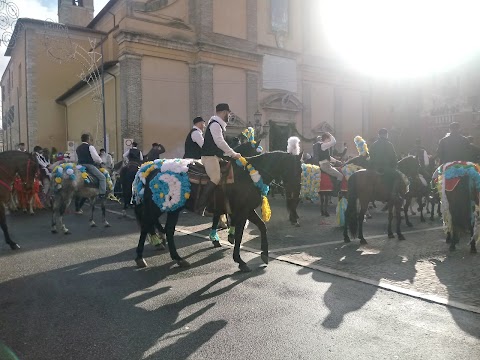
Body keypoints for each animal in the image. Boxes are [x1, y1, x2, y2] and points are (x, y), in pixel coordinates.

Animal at [133, 150, 302, 272]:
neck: (249, 175)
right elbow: (240, 235)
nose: (295, 195)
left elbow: (262, 227)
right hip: (158, 206)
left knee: (167, 229)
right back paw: (141, 257)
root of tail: (150, 169)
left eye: (301, 171)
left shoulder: (247, 210)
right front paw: (240, 260)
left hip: (173, 208)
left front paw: (264, 254)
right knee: (147, 225)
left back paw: (178, 258)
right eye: (294, 170)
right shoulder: (242, 211)